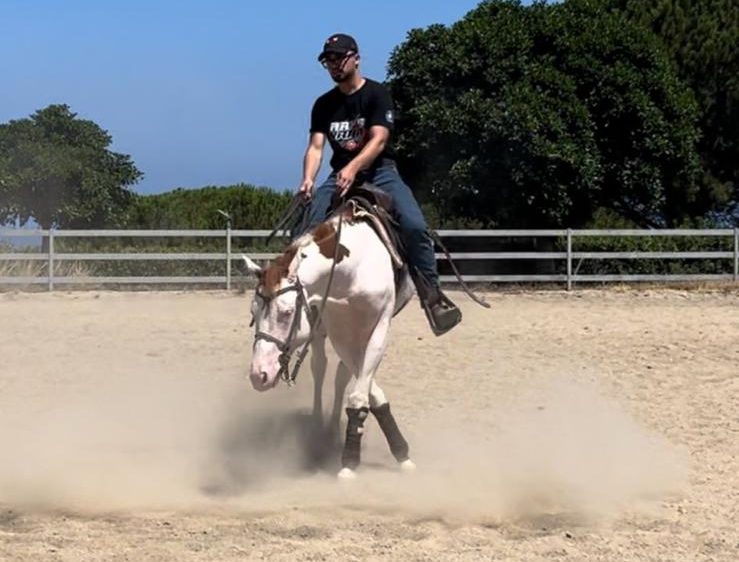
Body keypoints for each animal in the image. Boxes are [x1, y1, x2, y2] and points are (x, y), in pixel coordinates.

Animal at [242, 207, 417, 479]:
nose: (258, 375)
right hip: (320, 333)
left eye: (287, 312)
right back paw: (319, 429)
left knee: (339, 376)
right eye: (253, 312)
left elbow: (360, 389)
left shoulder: (378, 328)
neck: (353, 272)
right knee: (320, 368)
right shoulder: (339, 333)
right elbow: (360, 386)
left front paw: (389, 454)